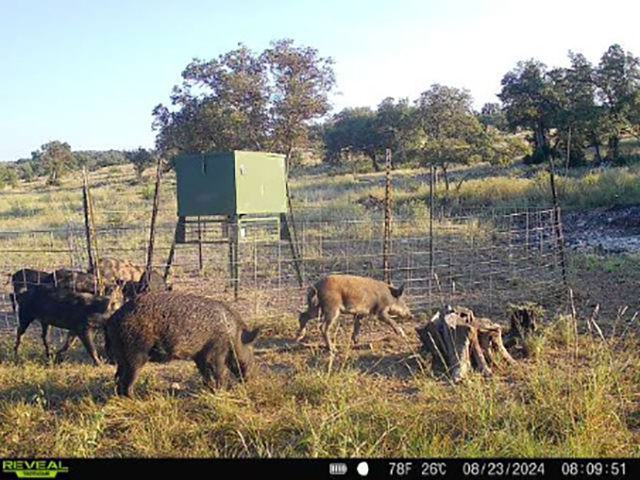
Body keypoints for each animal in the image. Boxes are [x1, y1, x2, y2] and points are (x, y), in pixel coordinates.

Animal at [105, 292, 260, 397]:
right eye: (251, 350)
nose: (250, 380)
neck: (234, 334)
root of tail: (112, 319)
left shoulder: (200, 356)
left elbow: (205, 374)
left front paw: (210, 390)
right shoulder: (216, 350)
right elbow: (219, 372)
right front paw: (220, 391)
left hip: (121, 355)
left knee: (118, 377)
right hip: (136, 352)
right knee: (127, 380)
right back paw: (136, 398)